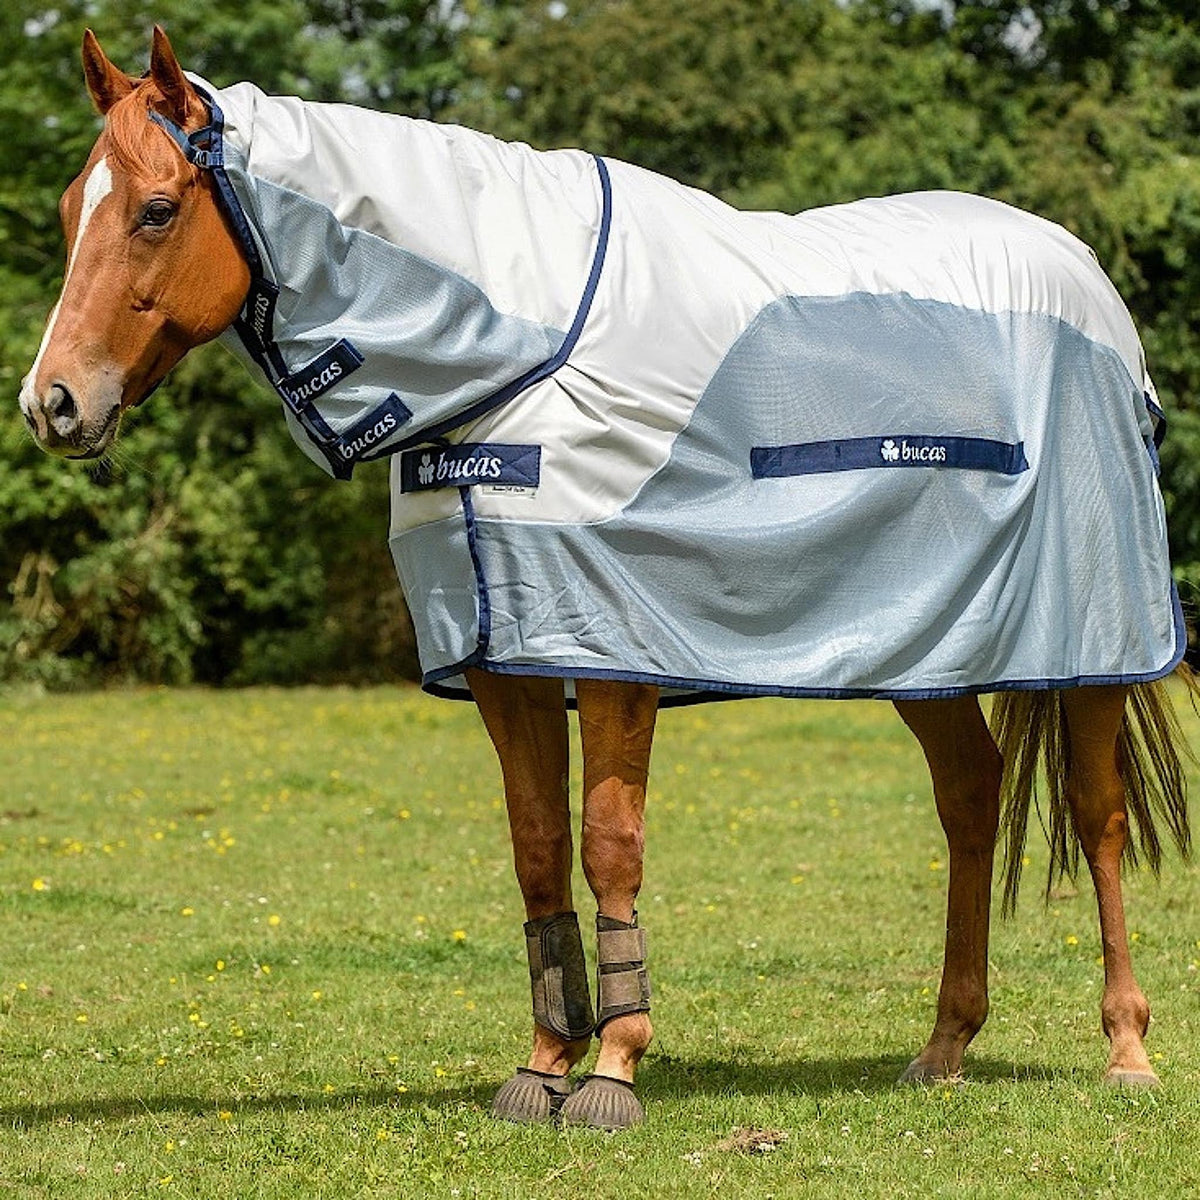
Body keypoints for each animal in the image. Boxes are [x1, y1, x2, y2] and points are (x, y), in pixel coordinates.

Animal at [18, 27, 1194, 1130]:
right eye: (76, 205)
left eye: (156, 210)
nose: (52, 402)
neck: (524, 360)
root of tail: (1092, 293)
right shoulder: (507, 662)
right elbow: (539, 849)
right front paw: (543, 1066)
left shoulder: (614, 647)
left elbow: (609, 847)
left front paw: (615, 1072)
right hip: (927, 646)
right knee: (971, 796)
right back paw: (945, 1047)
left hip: (1095, 642)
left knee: (1096, 815)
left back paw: (1127, 1051)